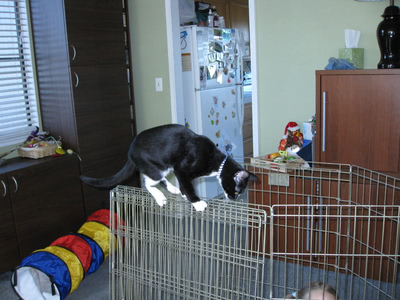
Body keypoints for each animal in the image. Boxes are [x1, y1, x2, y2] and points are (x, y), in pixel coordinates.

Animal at [80, 123, 258, 211]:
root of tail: (130, 150)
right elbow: (188, 185)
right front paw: (197, 202)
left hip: (161, 167)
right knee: (148, 182)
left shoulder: (180, 172)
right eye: (237, 191)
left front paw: (185, 195)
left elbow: (185, 185)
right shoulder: (182, 169)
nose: (234, 199)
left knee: (154, 179)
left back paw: (172, 189)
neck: (216, 161)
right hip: (157, 167)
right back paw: (160, 197)